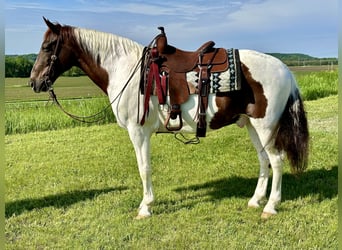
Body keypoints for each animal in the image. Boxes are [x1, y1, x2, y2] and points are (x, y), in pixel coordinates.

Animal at [29, 18, 308, 219]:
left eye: (47, 47)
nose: (34, 82)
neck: (124, 69)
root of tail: (285, 70)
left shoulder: (138, 131)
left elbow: (144, 168)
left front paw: (145, 207)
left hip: (266, 125)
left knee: (277, 161)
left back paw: (270, 207)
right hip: (251, 124)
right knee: (264, 161)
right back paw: (255, 201)